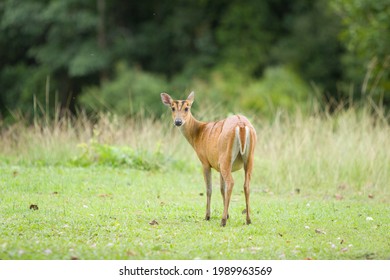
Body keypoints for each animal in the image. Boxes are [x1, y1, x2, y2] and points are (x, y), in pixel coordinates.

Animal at [160, 92, 258, 228]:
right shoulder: (218, 165)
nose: (178, 121)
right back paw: (248, 220)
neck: (198, 134)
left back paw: (223, 221)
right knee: (246, 184)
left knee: (231, 183)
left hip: (226, 156)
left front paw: (207, 216)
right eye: (172, 108)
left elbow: (209, 189)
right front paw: (228, 214)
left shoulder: (205, 162)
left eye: (187, 108)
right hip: (248, 157)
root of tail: (241, 125)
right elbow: (221, 189)